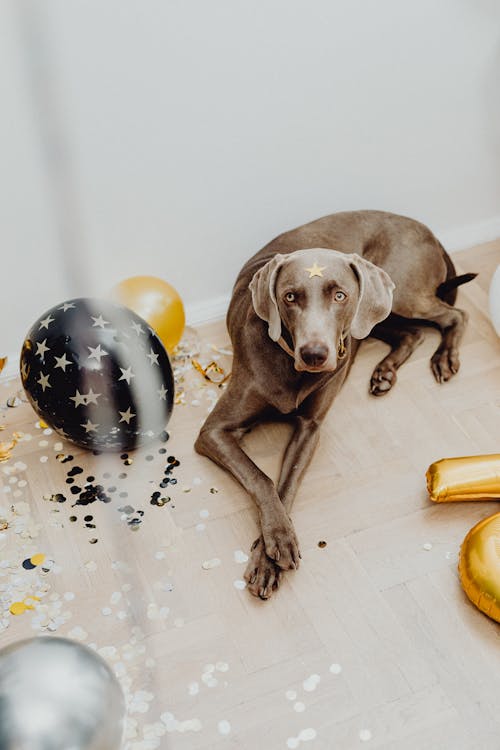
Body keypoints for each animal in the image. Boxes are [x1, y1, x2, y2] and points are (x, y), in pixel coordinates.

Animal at [193, 209, 474, 604]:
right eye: (289, 297)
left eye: (339, 295)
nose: (315, 354)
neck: (290, 366)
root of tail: (425, 229)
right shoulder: (214, 431)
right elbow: (262, 479)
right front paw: (274, 549)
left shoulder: (310, 429)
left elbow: (285, 485)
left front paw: (268, 556)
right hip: (379, 316)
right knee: (414, 332)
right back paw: (385, 373)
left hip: (398, 295)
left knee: (453, 315)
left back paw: (445, 357)